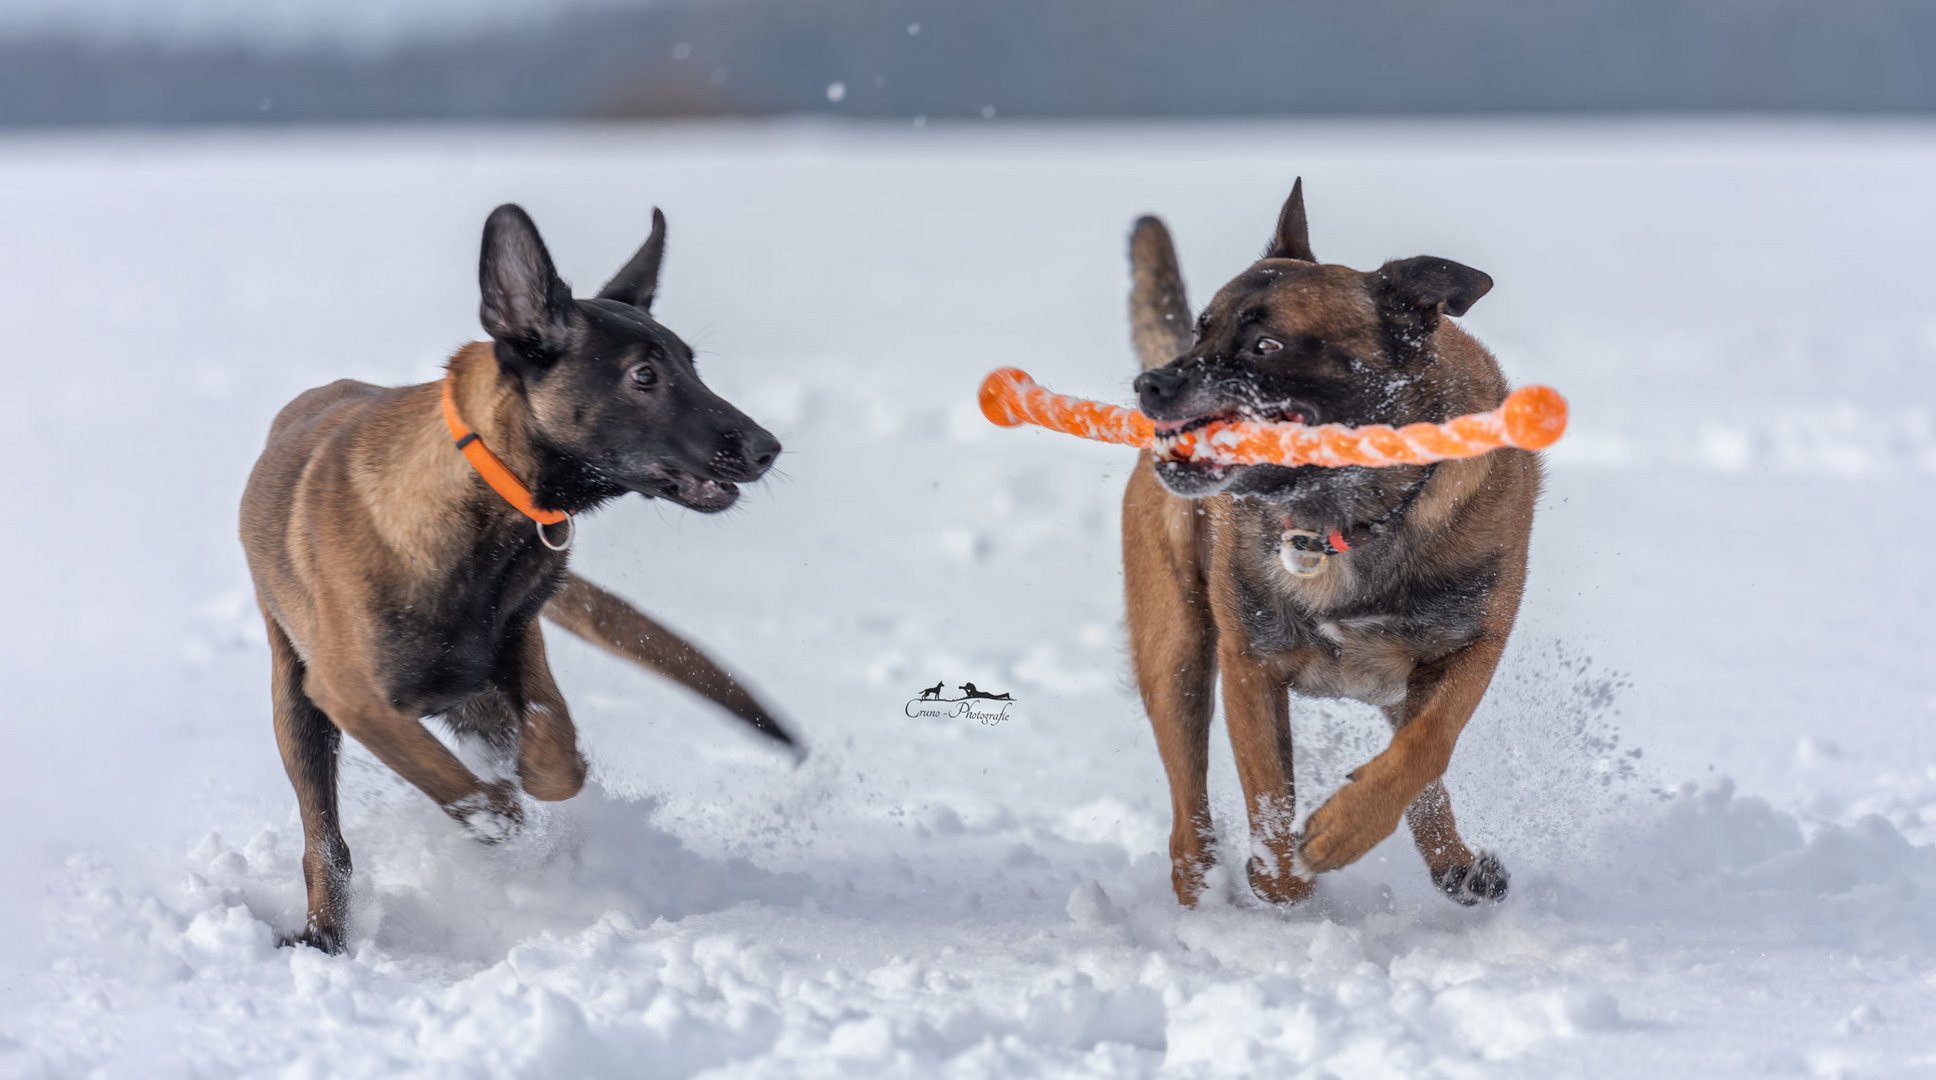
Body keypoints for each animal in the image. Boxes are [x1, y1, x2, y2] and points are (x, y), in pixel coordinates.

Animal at [243, 205, 801, 956]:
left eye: (691, 364)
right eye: (644, 376)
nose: (767, 447)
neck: (489, 504)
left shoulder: (518, 633)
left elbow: (552, 732)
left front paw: (542, 776)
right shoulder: (352, 695)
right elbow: (464, 789)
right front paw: (507, 821)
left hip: (458, 697)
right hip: (296, 702)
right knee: (324, 838)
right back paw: (325, 933)